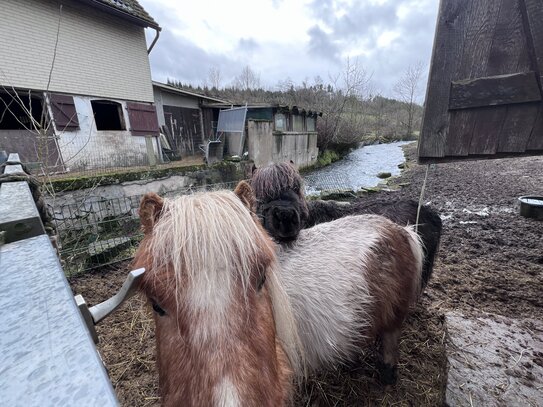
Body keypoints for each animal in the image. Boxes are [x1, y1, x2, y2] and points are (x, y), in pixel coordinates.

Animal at [132, 183, 424, 406]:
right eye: (156, 304)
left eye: (262, 278)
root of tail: (400, 230)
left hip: (394, 318)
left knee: (390, 340)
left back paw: (387, 377)